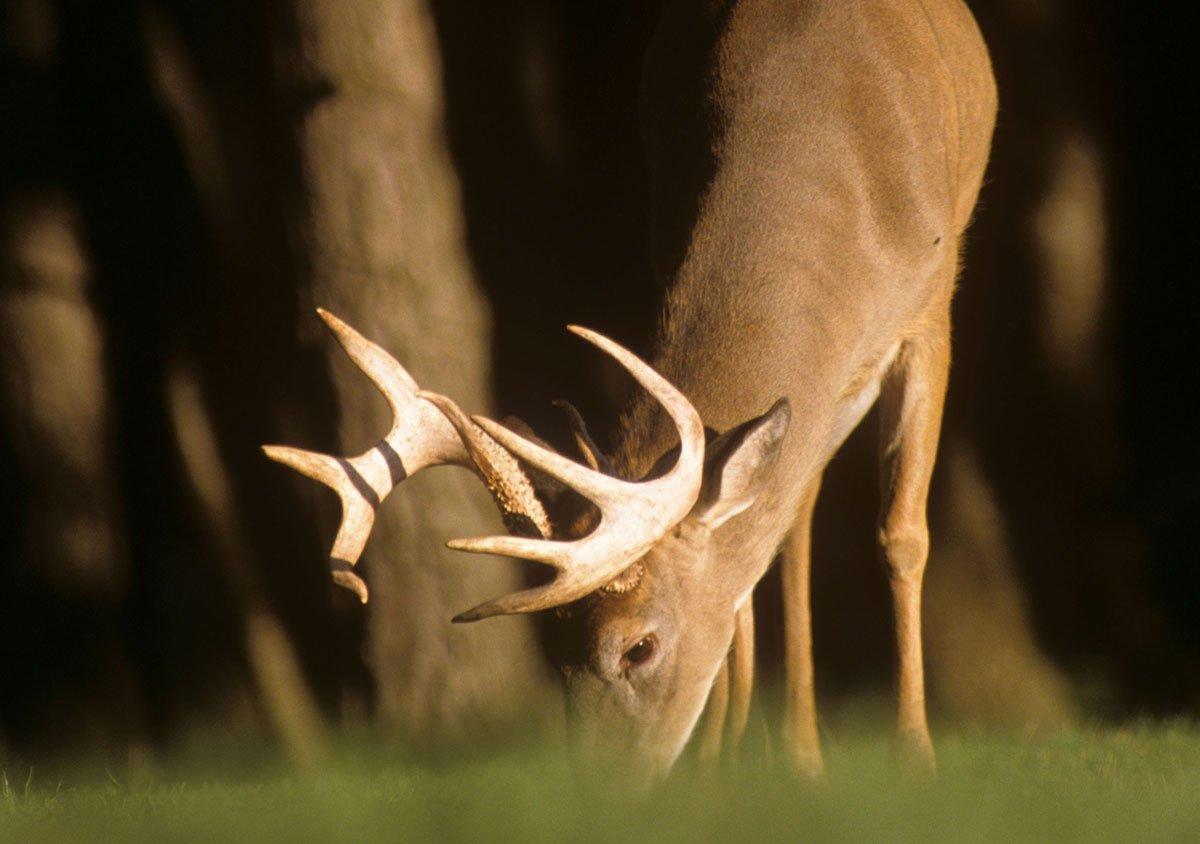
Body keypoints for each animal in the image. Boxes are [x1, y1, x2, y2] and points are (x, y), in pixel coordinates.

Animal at [267, 0, 998, 787]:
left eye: (637, 648)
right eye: (553, 648)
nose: (601, 790)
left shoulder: (930, 306)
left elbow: (903, 534)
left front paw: (915, 759)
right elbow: (752, 562)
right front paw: (719, 766)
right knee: (790, 520)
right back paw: (789, 751)